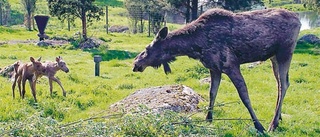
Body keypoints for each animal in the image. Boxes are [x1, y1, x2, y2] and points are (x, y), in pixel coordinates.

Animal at [131, 7, 302, 133]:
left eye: (146, 49)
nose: (135, 64)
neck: (196, 46)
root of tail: (299, 20)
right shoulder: (214, 68)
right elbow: (212, 93)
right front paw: (208, 118)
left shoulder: (231, 65)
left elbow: (244, 96)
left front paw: (258, 125)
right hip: (274, 57)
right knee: (280, 84)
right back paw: (278, 118)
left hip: (285, 52)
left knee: (284, 84)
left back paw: (272, 124)